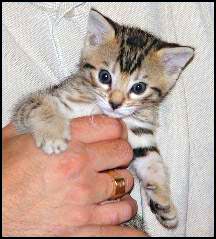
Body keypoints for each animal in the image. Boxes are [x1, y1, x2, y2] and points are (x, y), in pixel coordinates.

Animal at [12, 8, 195, 228]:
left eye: (139, 87)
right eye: (104, 76)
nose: (115, 103)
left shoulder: (139, 132)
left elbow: (153, 162)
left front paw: (164, 203)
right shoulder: (38, 102)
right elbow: (38, 106)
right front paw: (53, 135)